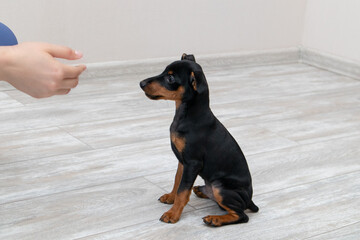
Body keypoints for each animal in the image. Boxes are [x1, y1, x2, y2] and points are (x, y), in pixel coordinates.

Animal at [139, 53, 258, 226]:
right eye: (164, 71)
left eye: (170, 78)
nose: (141, 83)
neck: (187, 115)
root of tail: (249, 200)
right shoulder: (183, 161)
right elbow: (178, 181)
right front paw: (171, 197)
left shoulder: (193, 163)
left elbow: (183, 191)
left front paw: (173, 214)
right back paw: (201, 191)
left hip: (220, 187)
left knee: (242, 215)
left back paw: (214, 219)